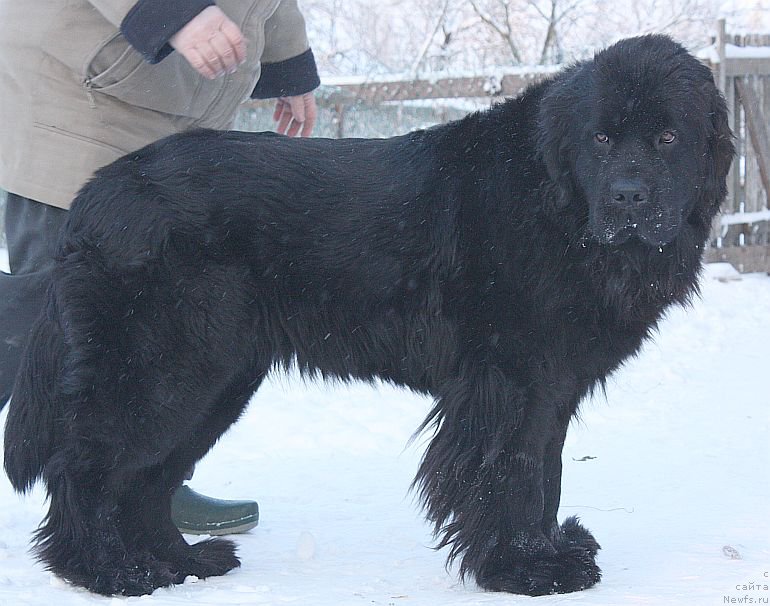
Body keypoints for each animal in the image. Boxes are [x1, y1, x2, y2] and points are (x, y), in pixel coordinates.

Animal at [1, 35, 732, 600]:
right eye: (601, 139)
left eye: (669, 137)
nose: (629, 197)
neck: (556, 201)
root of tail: (98, 191)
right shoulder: (510, 381)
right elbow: (510, 474)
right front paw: (521, 570)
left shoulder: (548, 388)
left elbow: (543, 474)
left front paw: (544, 553)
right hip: (161, 368)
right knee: (88, 468)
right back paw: (108, 571)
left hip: (216, 380)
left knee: (149, 480)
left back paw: (179, 560)